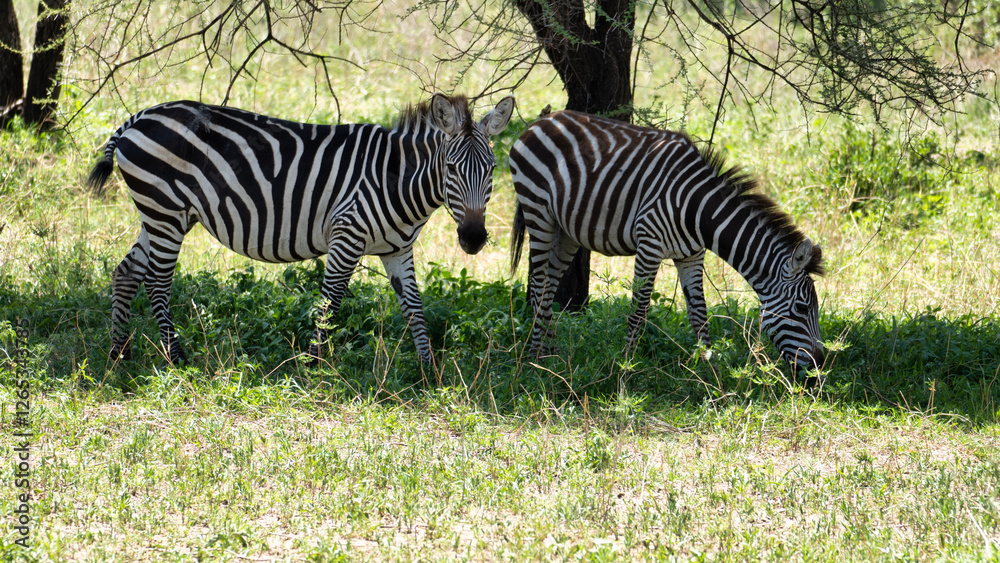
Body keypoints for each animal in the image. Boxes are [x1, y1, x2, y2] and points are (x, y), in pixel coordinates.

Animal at [87, 93, 516, 366]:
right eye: (451, 169)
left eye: (492, 170)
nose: (473, 238)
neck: (396, 179)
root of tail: (139, 117)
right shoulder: (347, 235)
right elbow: (330, 301)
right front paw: (312, 364)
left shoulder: (397, 249)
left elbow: (414, 306)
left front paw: (428, 371)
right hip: (166, 212)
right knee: (157, 281)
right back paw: (176, 358)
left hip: (159, 215)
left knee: (126, 272)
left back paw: (118, 353)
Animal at [508, 110, 825, 371]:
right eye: (802, 308)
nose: (818, 365)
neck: (698, 212)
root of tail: (542, 121)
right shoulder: (649, 245)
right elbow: (639, 310)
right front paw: (625, 367)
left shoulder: (692, 256)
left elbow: (699, 313)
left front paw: (709, 371)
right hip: (538, 213)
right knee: (537, 283)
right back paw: (535, 357)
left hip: (566, 231)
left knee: (548, 285)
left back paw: (550, 352)